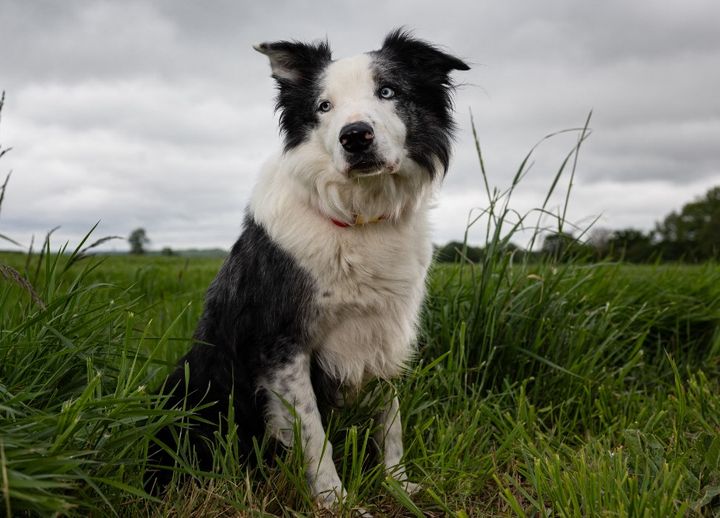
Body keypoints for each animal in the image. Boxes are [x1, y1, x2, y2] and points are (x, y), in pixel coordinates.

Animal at [149, 29, 470, 512]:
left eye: (388, 91)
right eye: (324, 106)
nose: (355, 137)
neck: (359, 217)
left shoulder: (384, 334)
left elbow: (391, 422)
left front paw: (399, 483)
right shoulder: (282, 345)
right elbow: (315, 435)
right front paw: (336, 501)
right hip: (189, 388)